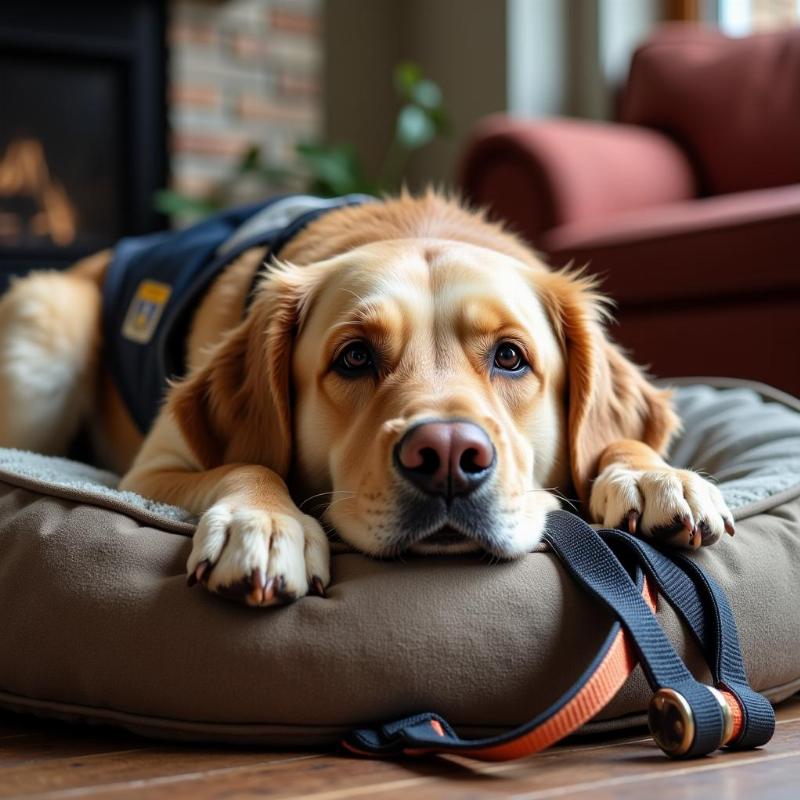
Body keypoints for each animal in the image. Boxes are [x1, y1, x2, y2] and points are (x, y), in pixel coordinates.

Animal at [0, 192, 732, 608]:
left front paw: (655, 476)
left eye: (510, 357)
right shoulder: (150, 470)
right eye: (354, 356)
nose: (448, 455)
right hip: (47, 335)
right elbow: (247, 462)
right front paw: (266, 524)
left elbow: (615, 439)